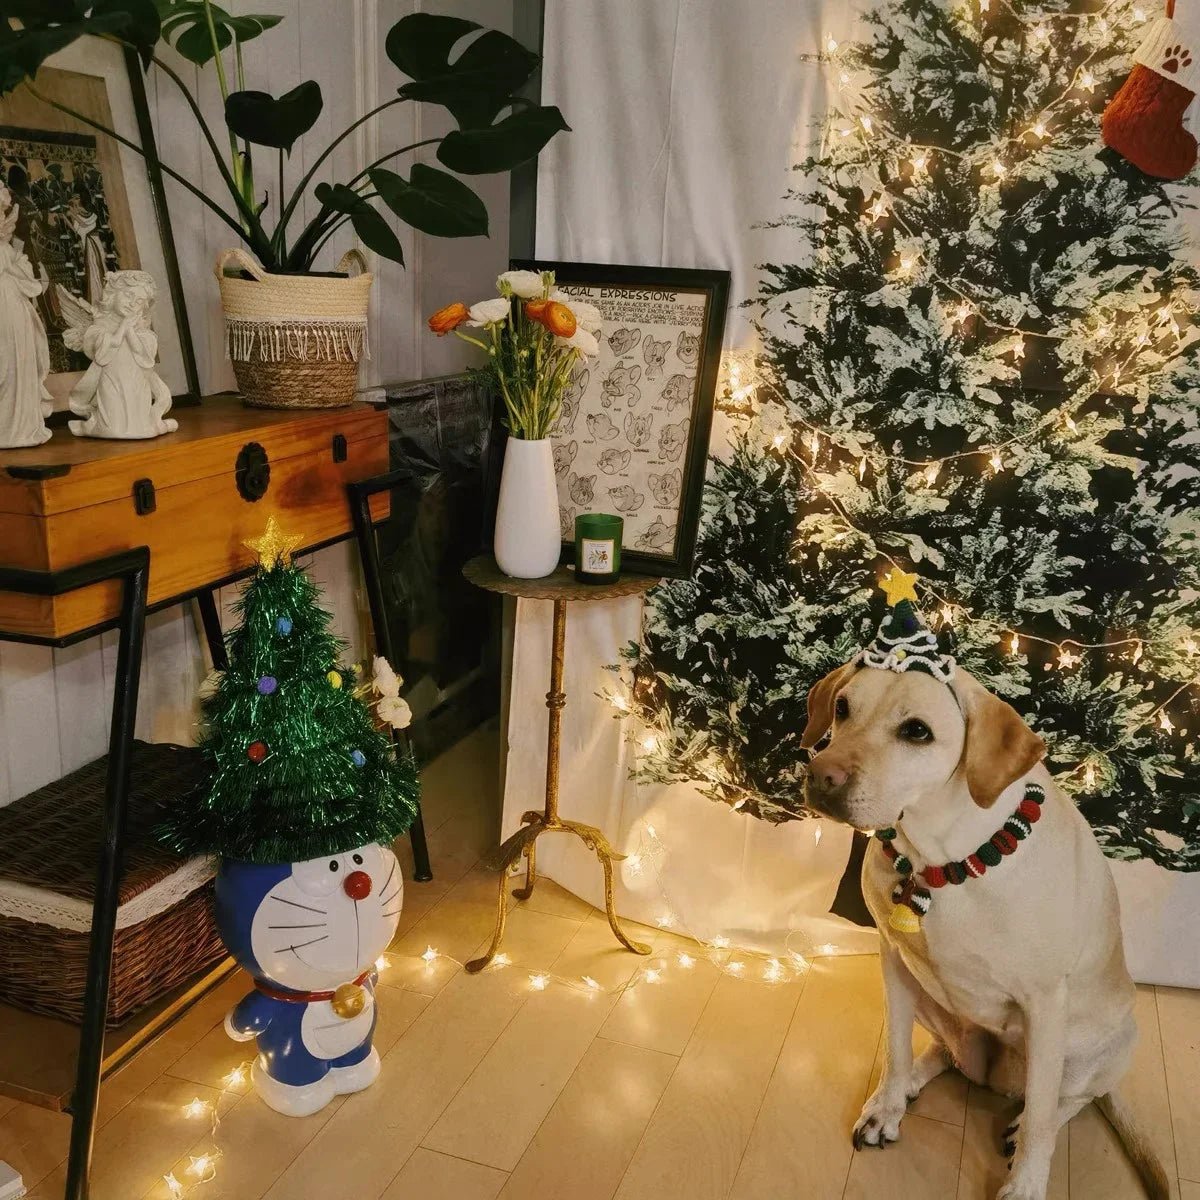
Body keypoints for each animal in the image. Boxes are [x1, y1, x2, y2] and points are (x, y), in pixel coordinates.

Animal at [801, 662, 1166, 1195]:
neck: (939, 860)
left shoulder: (1045, 1001)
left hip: (1101, 1046)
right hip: (927, 997)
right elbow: (894, 1048)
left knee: (1066, 1101)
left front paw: (1025, 1186)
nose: (820, 777)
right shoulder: (892, 959)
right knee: (942, 1053)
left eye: (917, 731)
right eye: (843, 707)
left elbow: (1040, 1114)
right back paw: (907, 1088)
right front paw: (887, 1106)